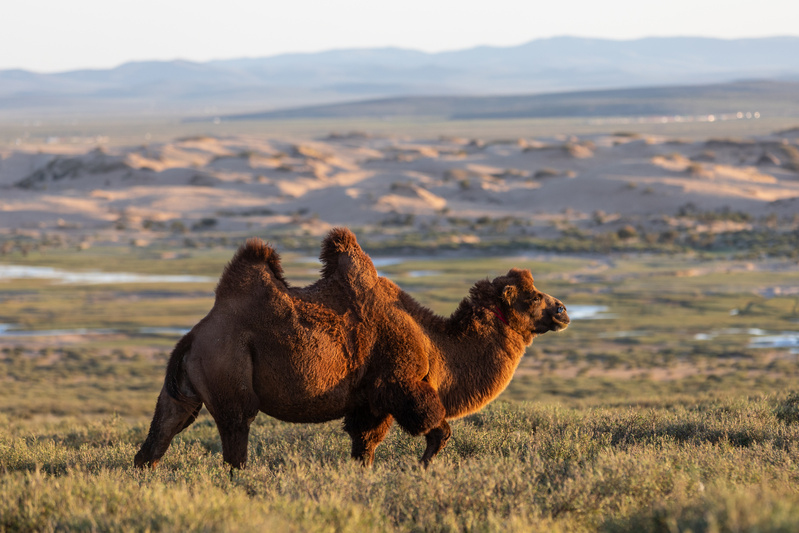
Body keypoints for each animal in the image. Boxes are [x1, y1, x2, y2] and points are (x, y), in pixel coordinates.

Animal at [134, 228, 569, 469]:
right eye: (532, 297)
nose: (563, 310)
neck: (436, 346)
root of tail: (193, 336)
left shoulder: (368, 404)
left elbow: (365, 449)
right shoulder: (401, 384)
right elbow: (438, 430)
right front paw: (423, 469)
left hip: (185, 390)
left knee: (160, 436)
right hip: (229, 376)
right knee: (235, 441)